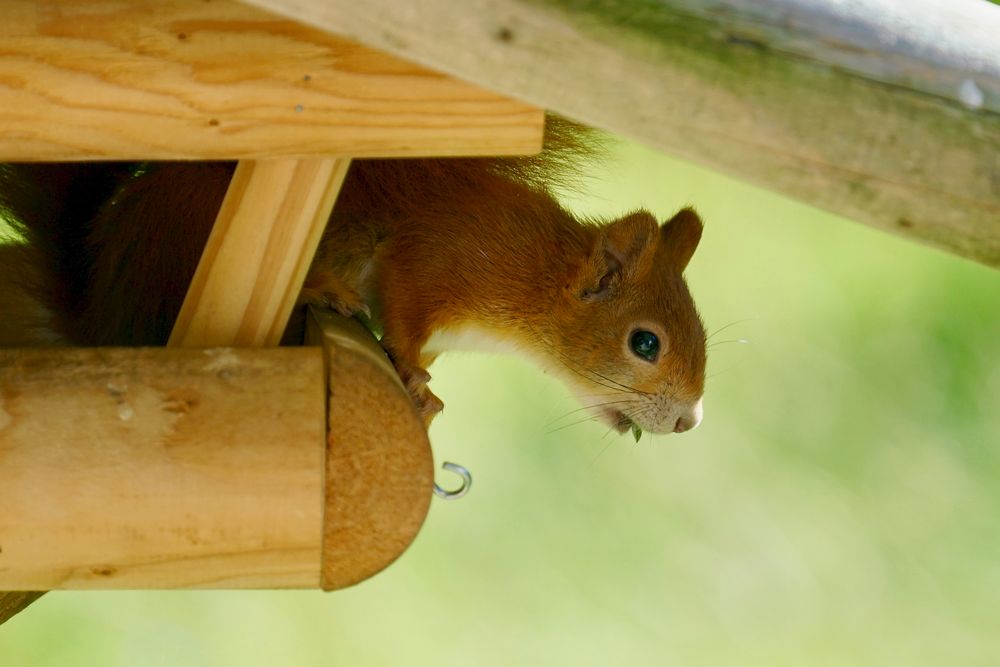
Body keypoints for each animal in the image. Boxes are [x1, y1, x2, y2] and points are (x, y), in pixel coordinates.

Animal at [0, 117, 708, 436]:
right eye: (645, 343)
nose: (688, 421)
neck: (538, 278)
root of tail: (99, 311)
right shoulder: (443, 258)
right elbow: (404, 309)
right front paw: (415, 379)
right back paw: (318, 290)